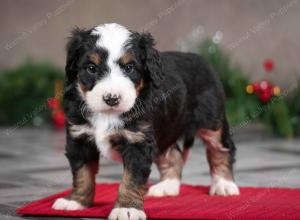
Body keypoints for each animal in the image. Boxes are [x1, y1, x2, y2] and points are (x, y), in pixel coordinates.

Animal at [51, 23, 239, 219]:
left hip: (212, 120)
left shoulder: (138, 142)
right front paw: (76, 201)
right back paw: (167, 186)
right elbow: (82, 174)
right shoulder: (78, 138)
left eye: (129, 67)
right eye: (91, 68)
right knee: (173, 155)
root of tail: (201, 59)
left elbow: (131, 180)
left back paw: (224, 185)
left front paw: (126, 208)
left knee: (220, 150)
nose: (112, 98)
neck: (108, 114)